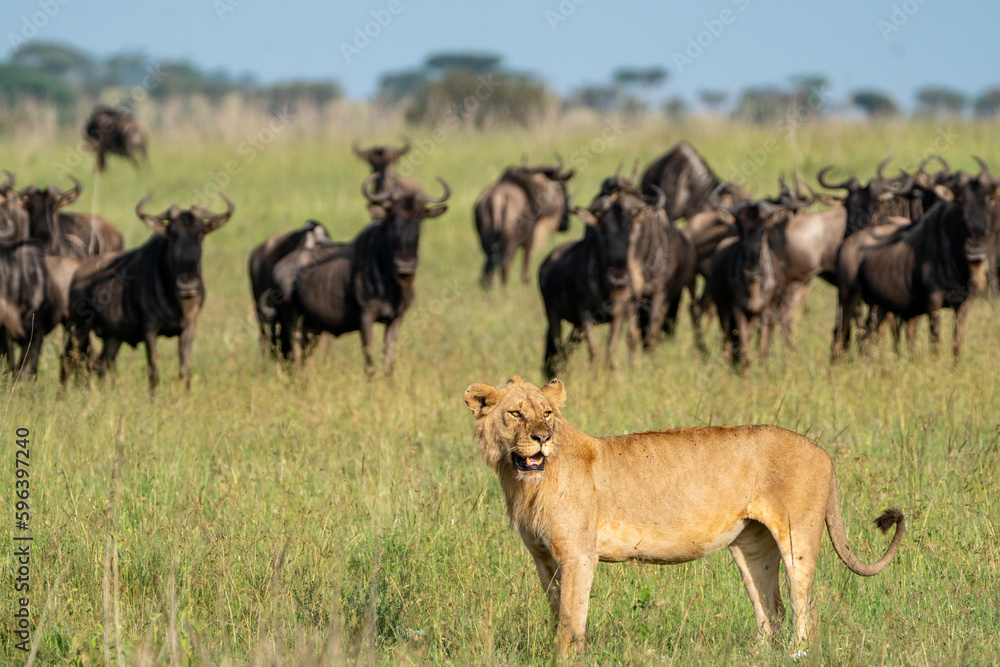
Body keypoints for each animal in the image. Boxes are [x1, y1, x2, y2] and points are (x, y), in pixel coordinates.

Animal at [463, 375, 905, 656]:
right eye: (516, 414)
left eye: (548, 413)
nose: (542, 437)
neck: (523, 482)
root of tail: (823, 452)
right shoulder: (543, 558)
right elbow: (559, 611)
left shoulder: (578, 555)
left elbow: (571, 618)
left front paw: (566, 658)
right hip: (751, 547)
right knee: (770, 610)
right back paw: (758, 655)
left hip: (797, 537)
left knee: (804, 607)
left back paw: (798, 654)